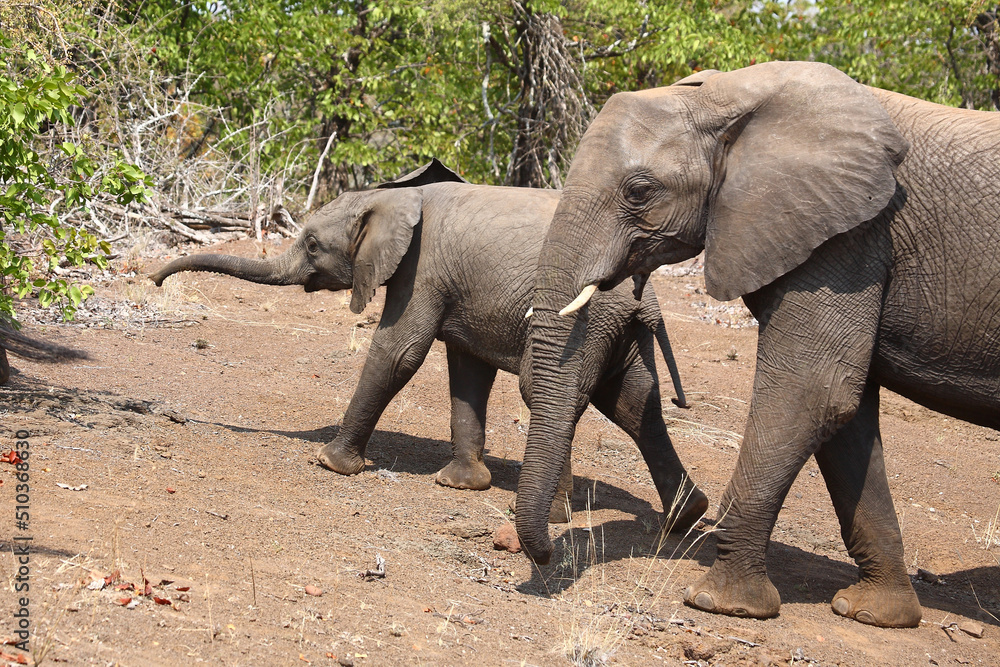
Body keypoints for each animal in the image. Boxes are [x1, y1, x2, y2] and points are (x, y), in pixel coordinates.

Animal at [150, 160, 708, 530]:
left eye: (311, 244)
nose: (153, 280)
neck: (390, 198)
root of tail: (647, 297)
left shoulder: (421, 270)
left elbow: (399, 351)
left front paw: (331, 464)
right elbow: (467, 372)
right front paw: (460, 484)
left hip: (584, 321)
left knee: (548, 392)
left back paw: (552, 515)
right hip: (617, 329)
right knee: (633, 402)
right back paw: (687, 517)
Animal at [518, 60, 1000, 628]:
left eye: (638, 191)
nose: (548, 551)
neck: (730, 96)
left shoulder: (849, 236)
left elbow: (812, 391)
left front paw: (721, 603)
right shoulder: (840, 235)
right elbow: (846, 414)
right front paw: (873, 614)